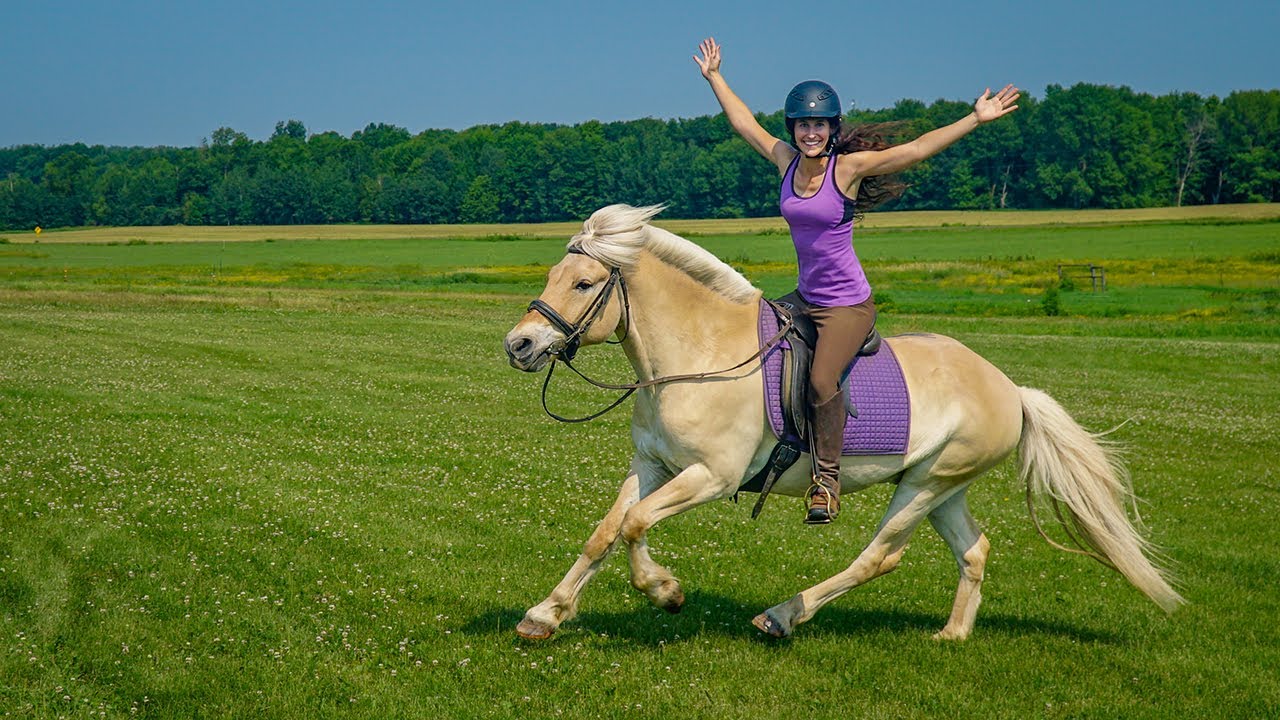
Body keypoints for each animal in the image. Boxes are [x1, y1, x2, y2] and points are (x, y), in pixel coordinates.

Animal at [502, 204, 1183, 640]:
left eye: (583, 282)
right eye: (553, 276)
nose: (520, 344)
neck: (699, 355)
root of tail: (1010, 389)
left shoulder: (711, 477)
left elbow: (636, 525)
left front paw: (665, 591)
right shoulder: (653, 465)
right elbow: (606, 532)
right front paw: (545, 614)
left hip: (925, 485)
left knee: (878, 558)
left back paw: (782, 616)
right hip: (944, 488)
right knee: (974, 550)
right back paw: (953, 634)